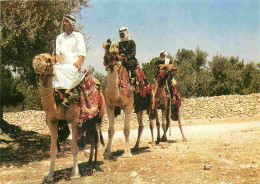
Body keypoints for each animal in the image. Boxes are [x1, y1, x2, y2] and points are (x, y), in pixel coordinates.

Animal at [32, 53, 104, 181]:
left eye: (48, 59)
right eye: (35, 58)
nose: (36, 62)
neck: (58, 101)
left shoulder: (74, 120)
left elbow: (74, 147)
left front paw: (75, 174)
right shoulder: (52, 120)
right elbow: (53, 149)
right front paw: (49, 176)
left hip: (97, 119)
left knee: (96, 139)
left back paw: (94, 165)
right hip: (89, 122)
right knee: (92, 139)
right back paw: (89, 162)